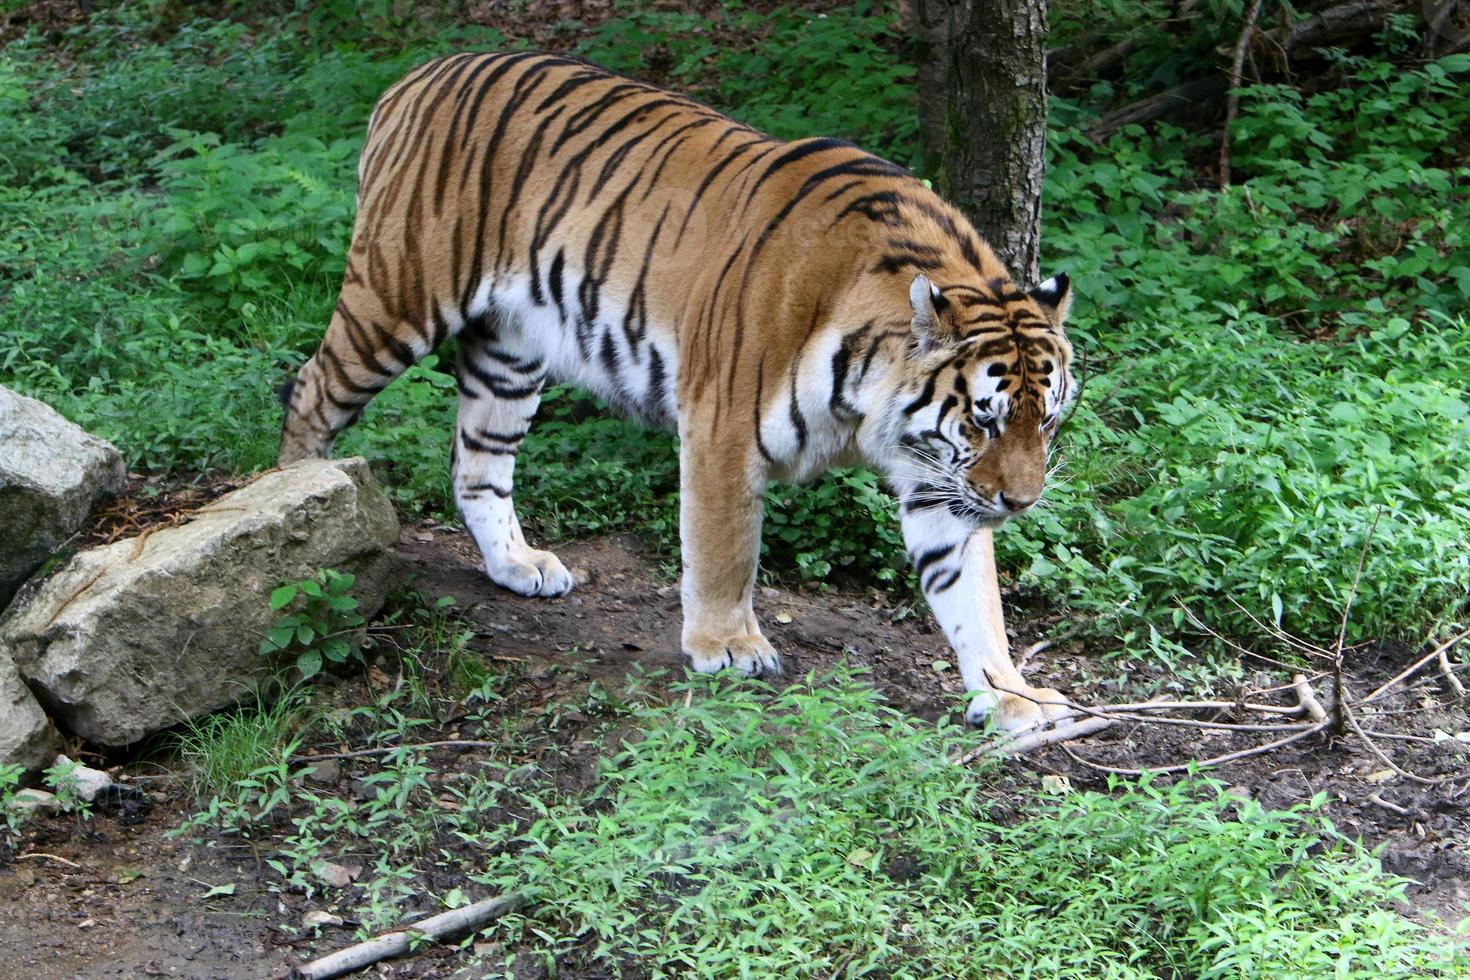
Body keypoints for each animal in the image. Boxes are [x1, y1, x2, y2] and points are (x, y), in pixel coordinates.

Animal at [277, 49, 1081, 731]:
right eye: (982, 420)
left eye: (1044, 424)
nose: (1022, 503)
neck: (869, 399)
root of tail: (417, 76)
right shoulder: (723, 430)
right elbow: (726, 551)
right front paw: (728, 646)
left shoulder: (935, 477)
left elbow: (972, 594)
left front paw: (1011, 697)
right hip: (396, 298)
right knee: (310, 391)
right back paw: (310, 520)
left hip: (509, 354)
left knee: (478, 463)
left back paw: (517, 565)